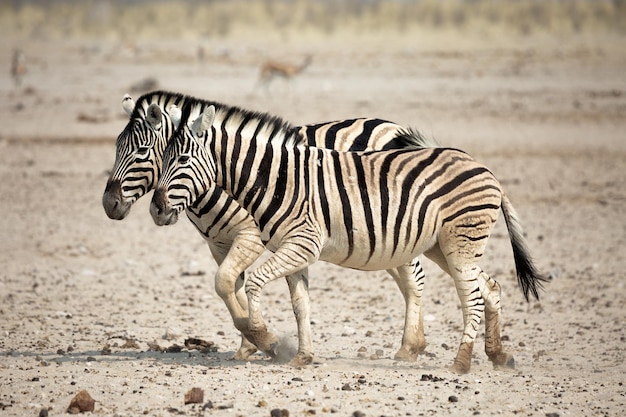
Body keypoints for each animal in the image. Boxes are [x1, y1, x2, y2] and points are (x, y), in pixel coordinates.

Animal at [102, 90, 434, 364]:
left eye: (142, 152)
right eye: (115, 147)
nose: (108, 204)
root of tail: (391, 126)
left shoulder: (249, 237)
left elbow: (224, 282)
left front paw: (262, 339)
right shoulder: (219, 244)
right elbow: (230, 287)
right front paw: (250, 343)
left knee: (414, 277)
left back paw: (410, 345)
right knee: (405, 278)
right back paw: (416, 342)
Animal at [150, 101, 544, 374]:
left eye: (181, 159)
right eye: (159, 158)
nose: (156, 209)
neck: (275, 178)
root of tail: (484, 168)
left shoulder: (302, 244)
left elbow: (255, 282)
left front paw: (265, 339)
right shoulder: (292, 250)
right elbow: (301, 305)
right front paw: (303, 356)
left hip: (460, 243)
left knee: (472, 297)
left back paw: (460, 364)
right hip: (443, 247)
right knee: (490, 286)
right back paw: (497, 355)